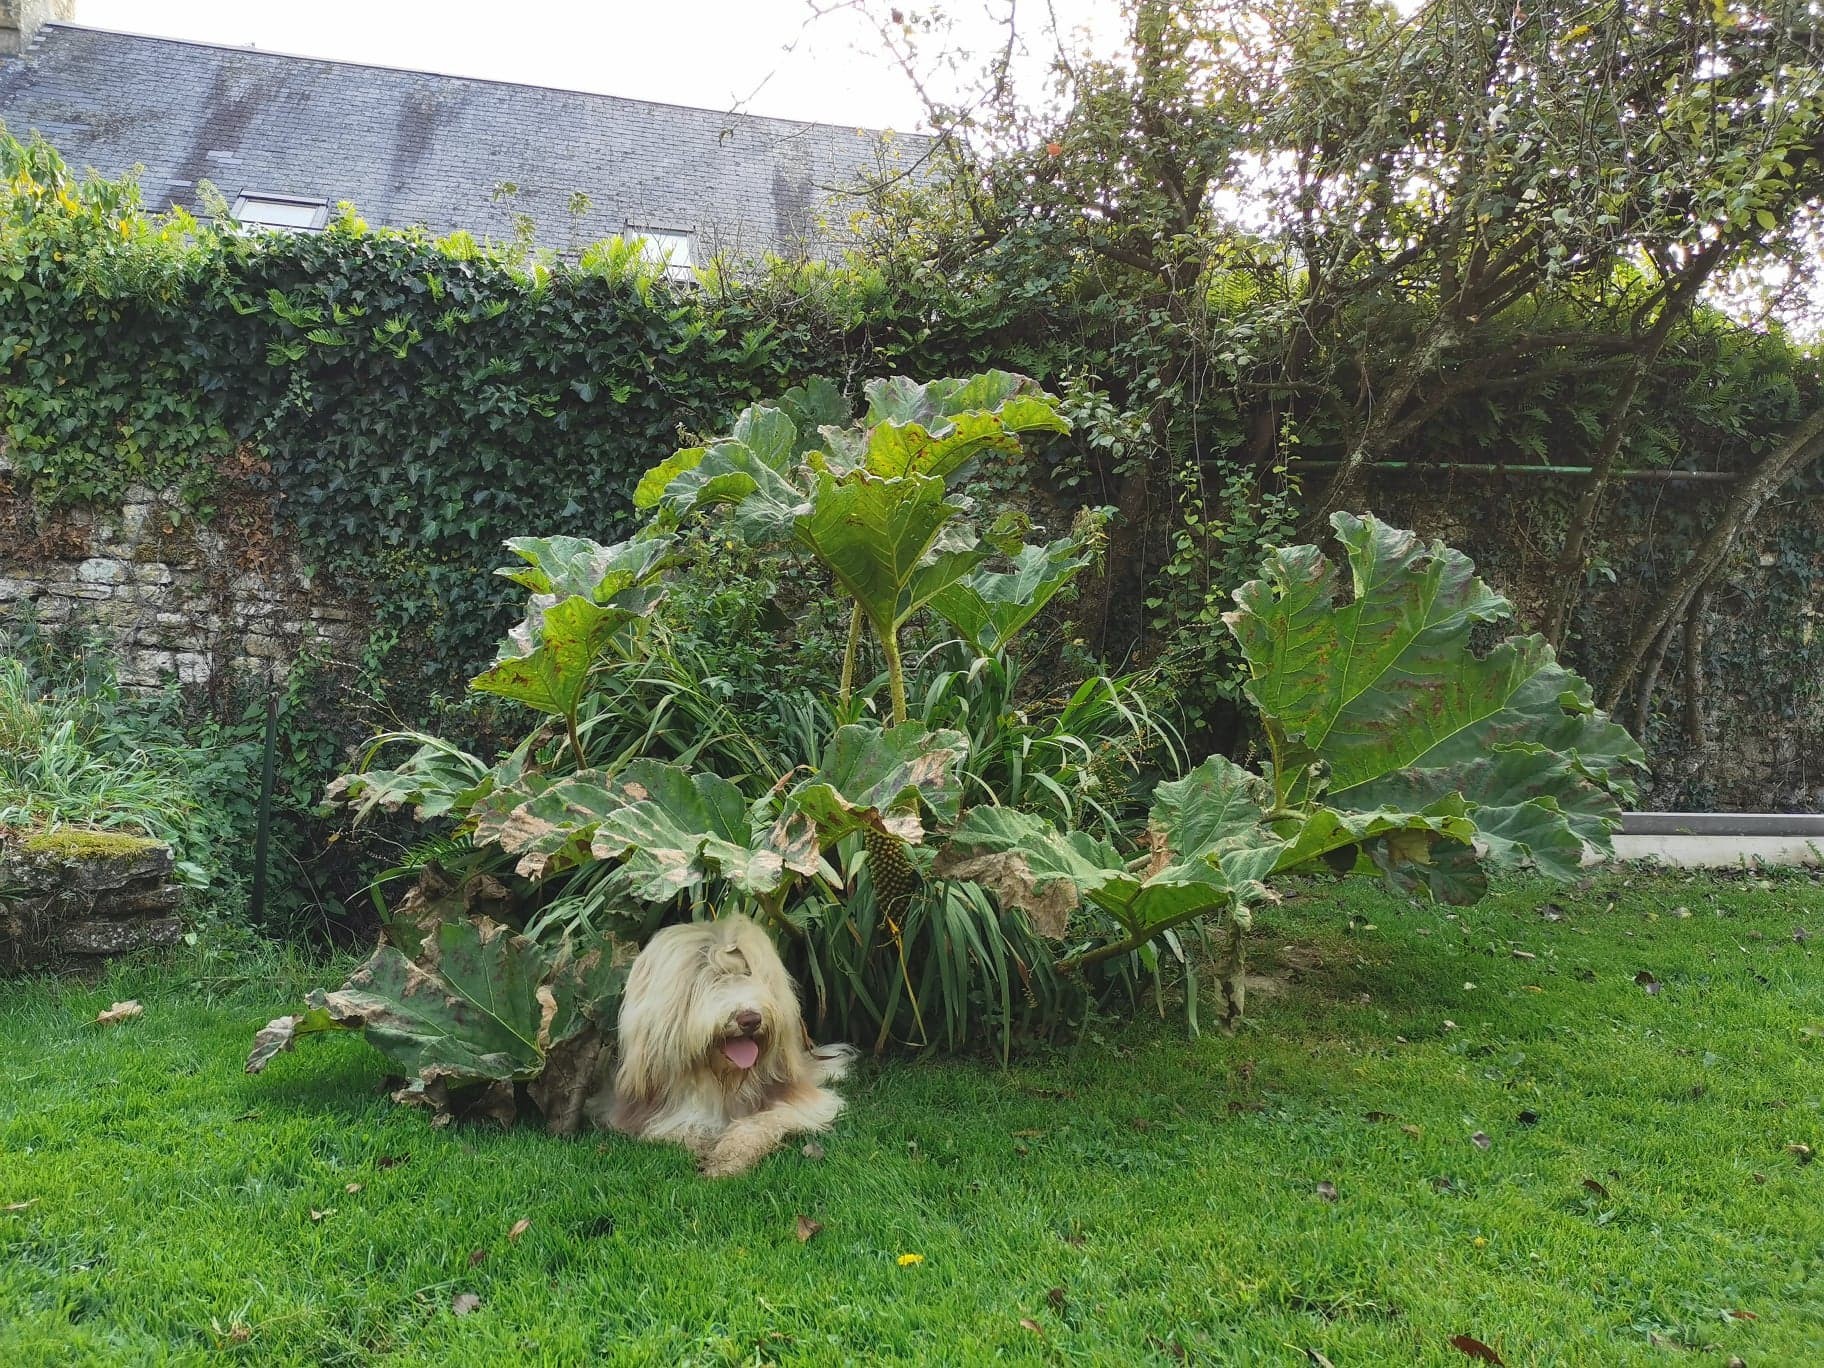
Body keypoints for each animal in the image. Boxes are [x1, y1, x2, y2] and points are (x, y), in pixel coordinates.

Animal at [594, 912, 857, 1181]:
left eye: (750, 973)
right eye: (707, 977)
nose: (750, 1019)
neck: (720, 1080)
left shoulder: (799, 1103)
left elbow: (762, 1122)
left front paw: (728, 1158)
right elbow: (685, 1128)